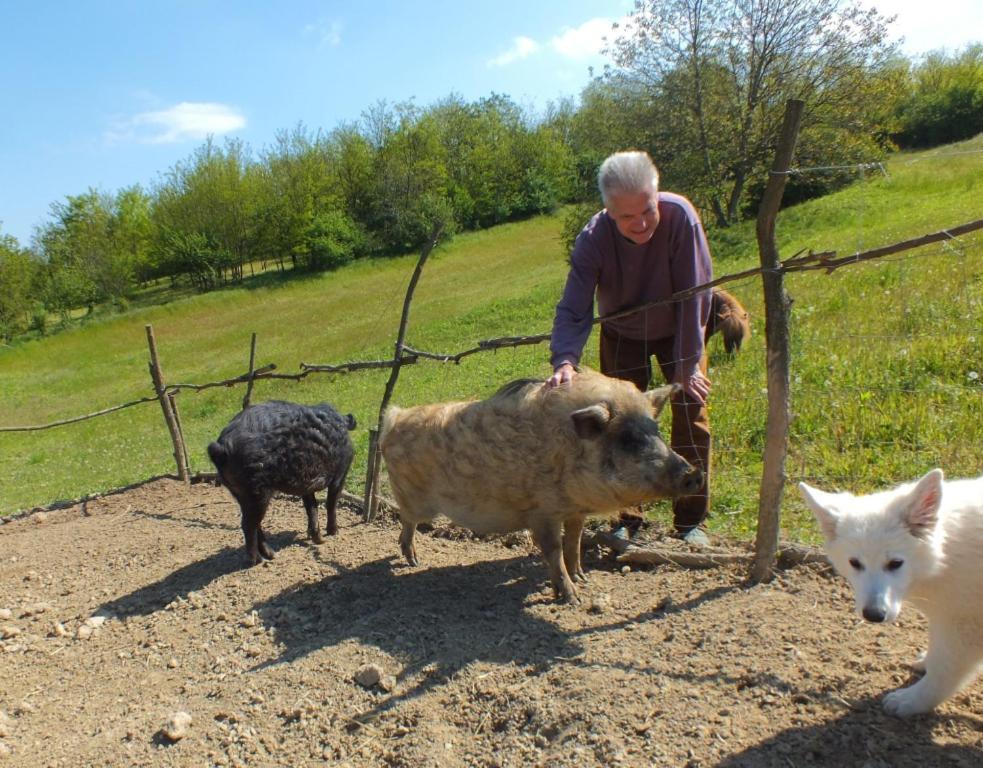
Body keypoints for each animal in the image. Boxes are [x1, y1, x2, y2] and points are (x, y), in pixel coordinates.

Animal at [804, 468, 980, 720]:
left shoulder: (965, 628)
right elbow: (936, 650)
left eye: (896, 563)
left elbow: (942, 670)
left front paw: (911, 701)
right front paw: (925, 662)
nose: (873, 616)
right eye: (855, 563)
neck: (946, 554)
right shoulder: (946, 617)